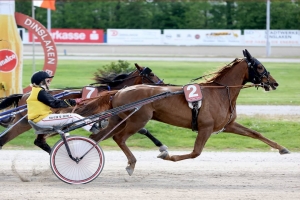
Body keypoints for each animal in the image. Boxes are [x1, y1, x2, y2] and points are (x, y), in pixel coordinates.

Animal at [0, 63, 166, 153]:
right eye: (151, 74)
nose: (163, 84)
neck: (113, 92)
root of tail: (23, 95)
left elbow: (142, 130)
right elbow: (141, 129)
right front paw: (162, 146)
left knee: (39, 142)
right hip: (25, 122)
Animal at [89, 49, 290, 175]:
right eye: (259, 66)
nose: (274, 83)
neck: (220, 92)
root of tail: (118, 92)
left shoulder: (228, 125)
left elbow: (255, 133)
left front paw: (282, 148)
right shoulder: (206, 127)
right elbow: (195, 153)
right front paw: (167, 155)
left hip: (119, 120)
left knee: (96, 138)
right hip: (137, 120)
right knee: (119, 138)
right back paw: (131, 164)